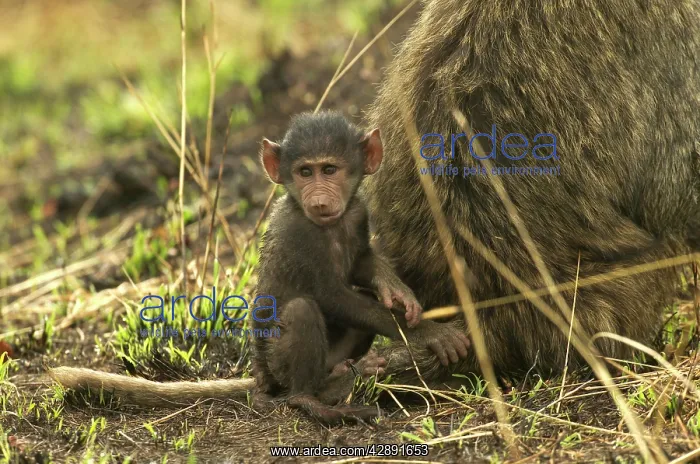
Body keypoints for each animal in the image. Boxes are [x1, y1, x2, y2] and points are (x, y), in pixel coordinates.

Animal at [48, 111, 471, 423]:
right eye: (304, 172)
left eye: (330, 169)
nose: (319, 199)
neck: (328, 225)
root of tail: (260, 376)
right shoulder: (299, 231)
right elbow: (331, 296)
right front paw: (430, 332)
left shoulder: (356, 213)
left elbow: (362, 268)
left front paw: (395, 290)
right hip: (278, 365)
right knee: (301, 315)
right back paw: (312, 400)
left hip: (329, 359)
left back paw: (340, 381)